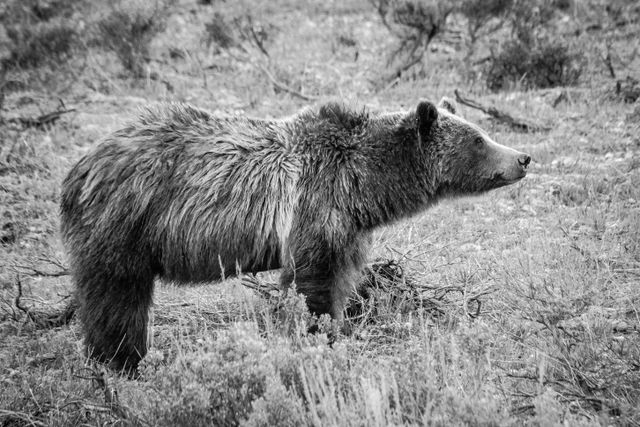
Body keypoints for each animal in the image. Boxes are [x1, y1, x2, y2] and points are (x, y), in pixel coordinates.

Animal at [61, 98, 528, 372]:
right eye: (478, 138)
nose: (523, 157)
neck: (363, 184)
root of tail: (80, 165)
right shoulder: (315, 207)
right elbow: (313, 283)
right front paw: (319, 337)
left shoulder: (348, 229)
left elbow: (340, 280)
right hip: (126, 224)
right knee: (117, 297)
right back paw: (120, 361)